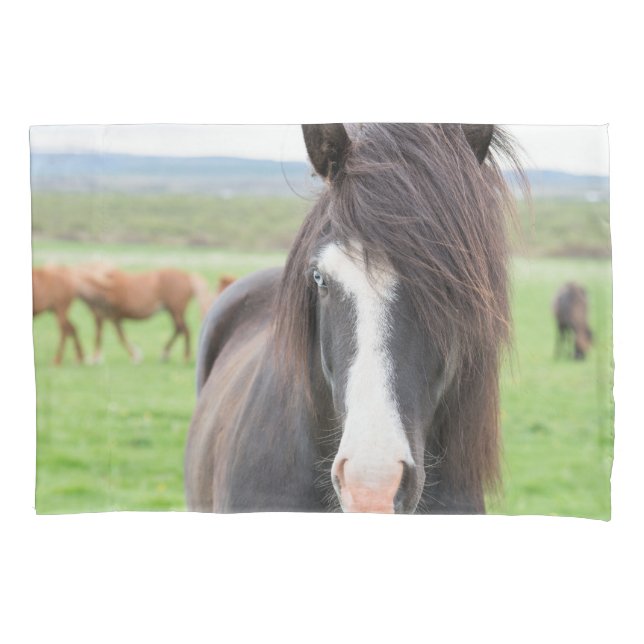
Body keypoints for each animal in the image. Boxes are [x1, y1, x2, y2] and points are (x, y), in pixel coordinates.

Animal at [74, 265, 211, 363]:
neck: (104, 290)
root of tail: (187, 276)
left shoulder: (113, 317)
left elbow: (119, 336)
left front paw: (135, 356)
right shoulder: (105, 317)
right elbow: (102, 335)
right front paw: (96, 358)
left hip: (175, 310)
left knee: (183, 329)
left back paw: (182, 356)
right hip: (173, 311)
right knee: (179, 329)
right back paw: (167, 353)